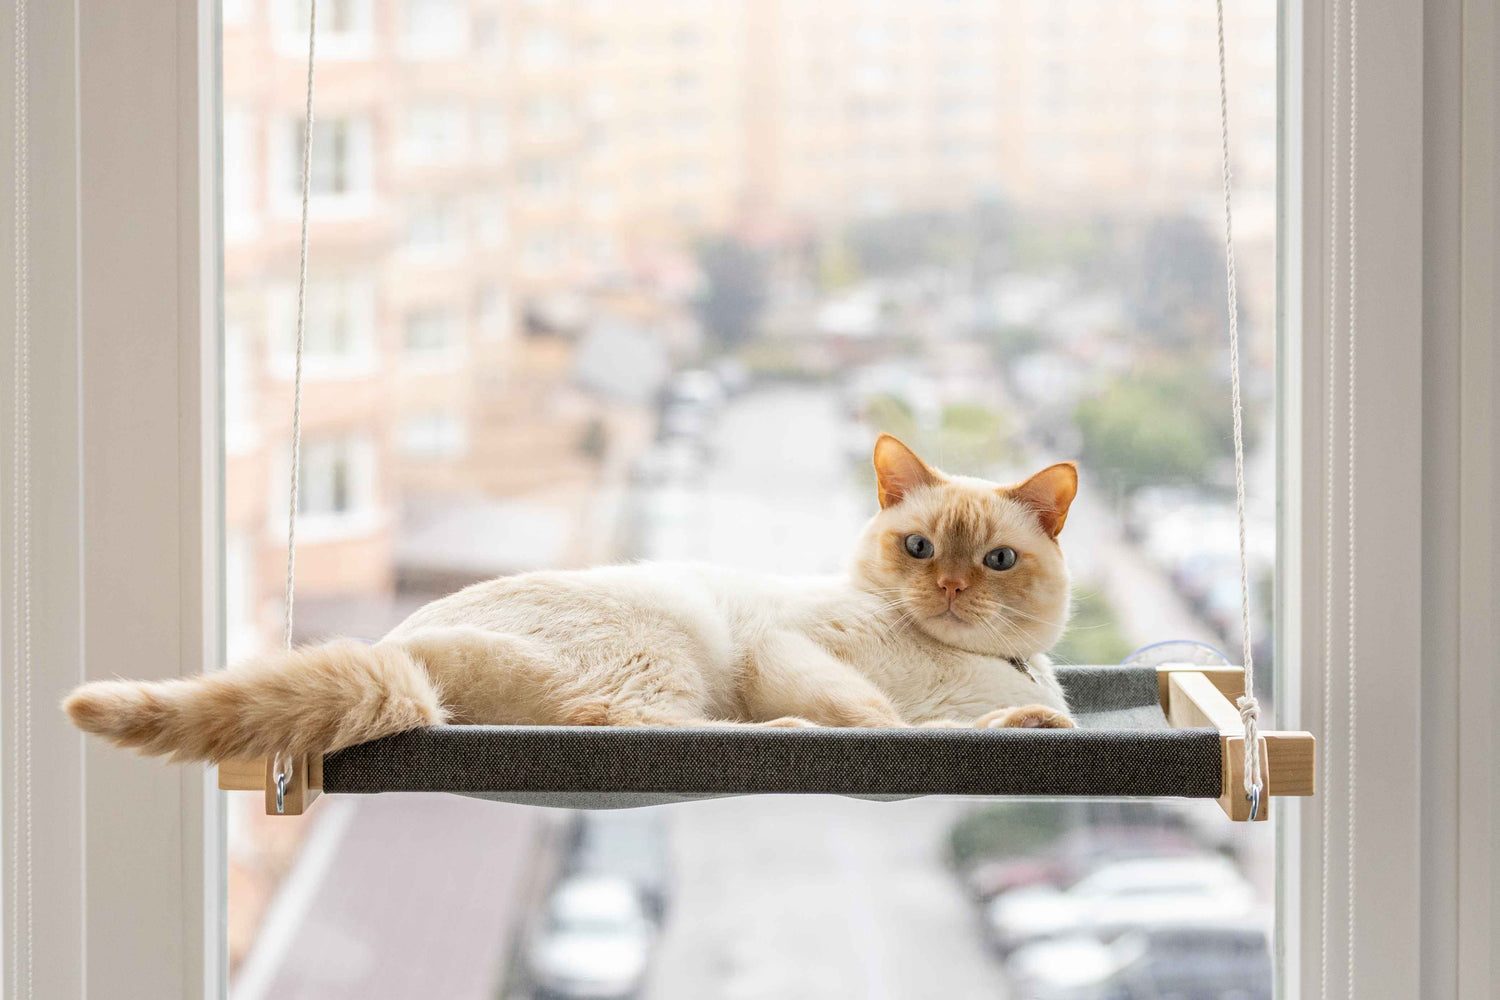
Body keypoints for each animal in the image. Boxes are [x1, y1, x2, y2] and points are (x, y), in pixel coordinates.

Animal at [61, 434, 1080, 761]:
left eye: (995, 560)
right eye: (918, 547)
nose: (948, 587)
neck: (982, 666)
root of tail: (400, 645)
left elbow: (954, 722)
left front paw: (1027, 718)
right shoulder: (792, 652)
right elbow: (889, 722)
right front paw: (1009, 722)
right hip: (664, 645)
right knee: (648, 723)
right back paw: (790, 733)